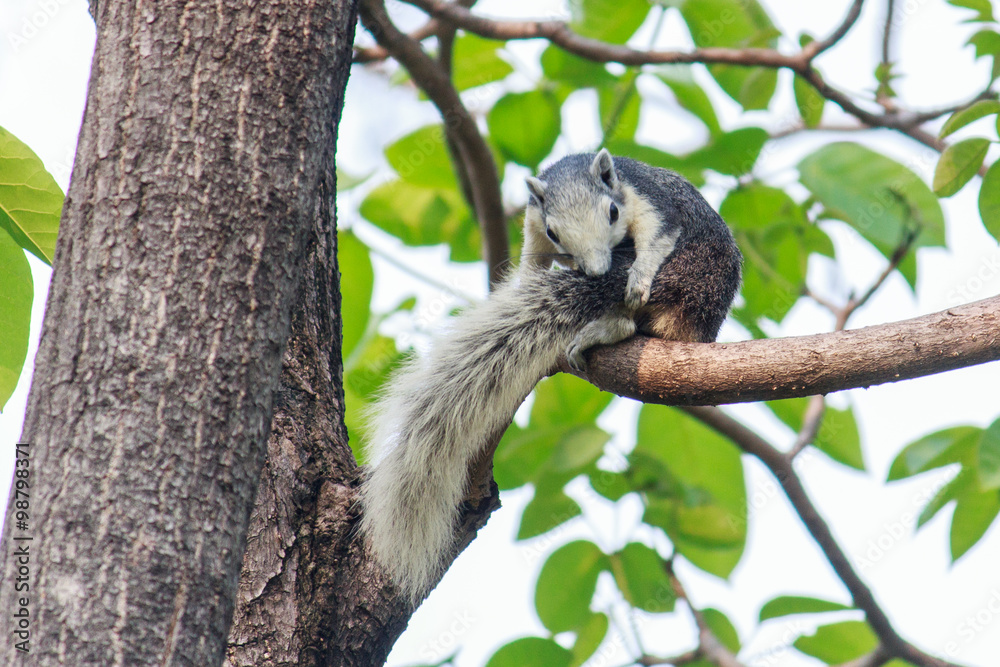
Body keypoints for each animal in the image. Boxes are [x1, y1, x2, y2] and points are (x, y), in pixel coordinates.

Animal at [359, 151, 742, 603]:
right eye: (554, 232)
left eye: (613, 213)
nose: (596, 271)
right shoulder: (533, 225)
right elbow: (532, 263)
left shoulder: (651, 200)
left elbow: (656, 235)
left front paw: (638, 275)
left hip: (693, 276)